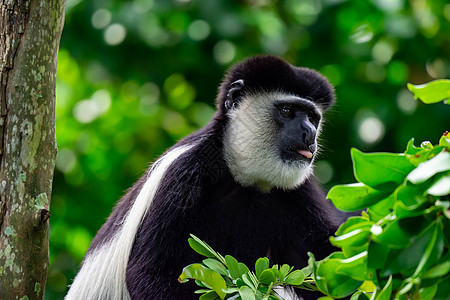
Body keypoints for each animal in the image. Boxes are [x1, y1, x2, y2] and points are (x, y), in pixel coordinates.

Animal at [67, 56, 344, 300]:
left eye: (313, 117)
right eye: (287, 111)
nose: (309, 134)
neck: (242, 177)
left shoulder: (298, 190)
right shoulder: (183, 175)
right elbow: (149, 273)